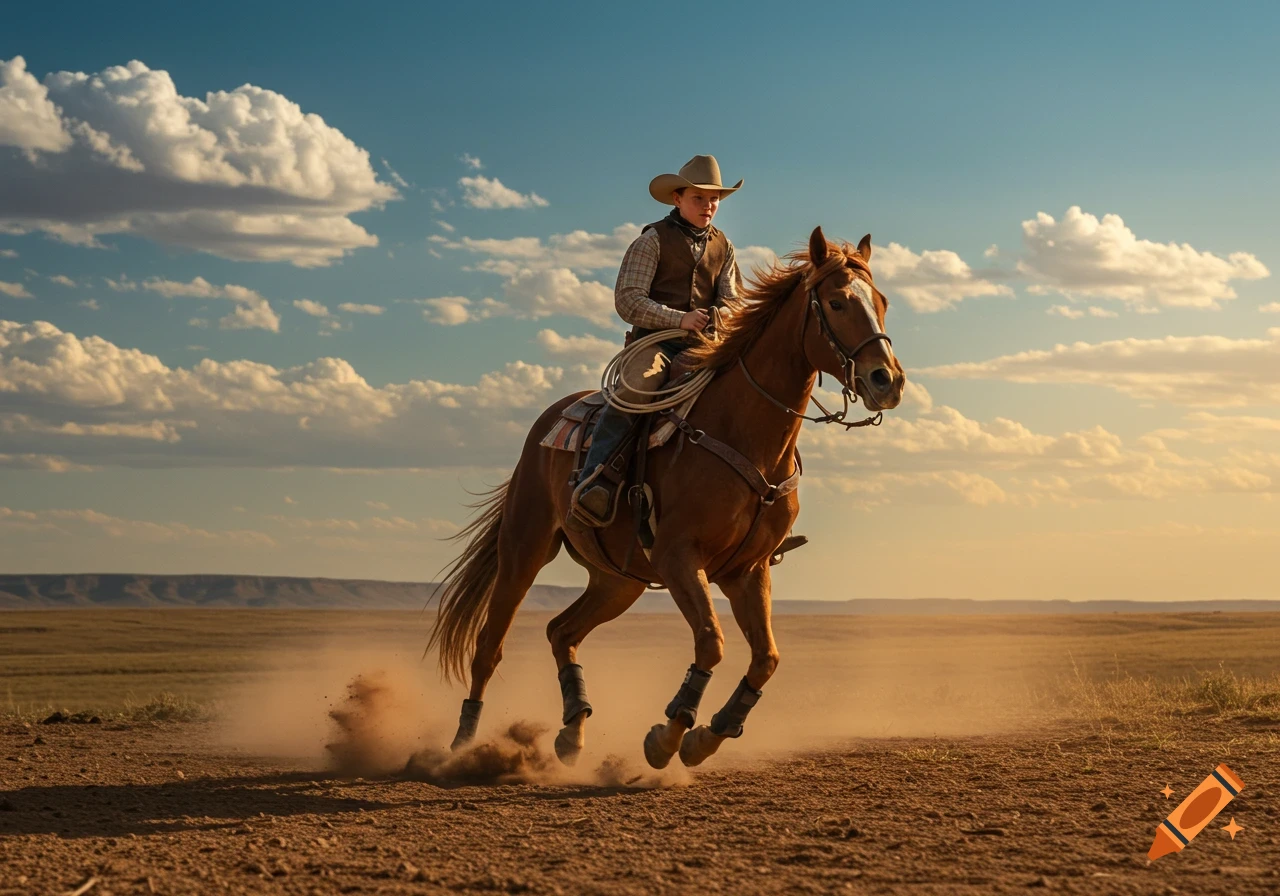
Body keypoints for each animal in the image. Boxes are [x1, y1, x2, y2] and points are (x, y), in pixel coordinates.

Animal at [427, 226, 905, 769]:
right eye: (838, 302)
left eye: (882, 302)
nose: (888, 380)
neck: (743, 433)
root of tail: (549, 421)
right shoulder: (679, 556)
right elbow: (711, 642)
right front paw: (669, 735)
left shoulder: (748, 569)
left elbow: (766, 658)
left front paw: (709, 735)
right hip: (524, 547)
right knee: (490, 645)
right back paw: (463, 743)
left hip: (619, 580)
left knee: (561, 631)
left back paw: (573, 732)